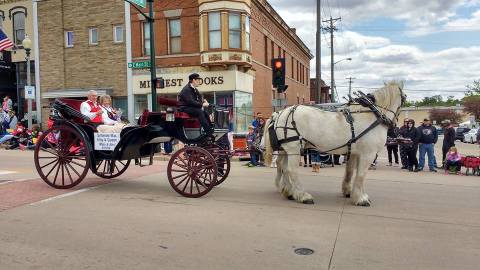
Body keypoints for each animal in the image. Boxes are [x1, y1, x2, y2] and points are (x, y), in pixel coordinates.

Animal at [262, 81, 404, 206]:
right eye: (403, 99)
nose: (395, 128)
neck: (373, 115)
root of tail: (280, 113)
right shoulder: (368, 154)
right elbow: (361, 175)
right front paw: (361, 199)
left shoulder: (354, 152)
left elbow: (350, 172)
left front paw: (348, 192)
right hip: (294, 149)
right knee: (291, 170)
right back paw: (303, 196)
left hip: (286, 149)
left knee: (283, 168)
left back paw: (289, 192)